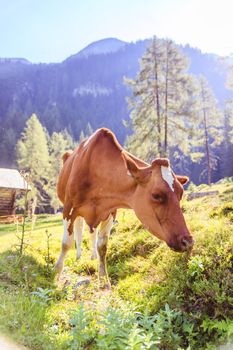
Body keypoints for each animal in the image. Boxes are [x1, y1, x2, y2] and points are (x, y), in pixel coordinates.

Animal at [54, 128, 193, 288]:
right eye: (156, 195)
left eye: (181, 193)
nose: (188, 241)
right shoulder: (68, 208)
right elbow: (66, 244)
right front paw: (56, 274)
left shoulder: (110, 212)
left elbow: (102, 246)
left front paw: (104, 280)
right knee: (78, 230)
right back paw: (78, 257)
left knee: (91, 232)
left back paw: (92, 256)